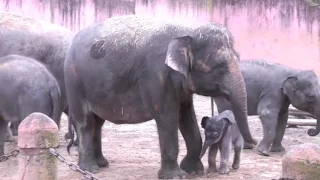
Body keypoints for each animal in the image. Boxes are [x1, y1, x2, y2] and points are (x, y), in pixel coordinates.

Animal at [64, 15, 258, 179]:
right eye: (219, 66)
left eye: (238, 57)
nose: (254, 143)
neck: (187, 30)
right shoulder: (156, 76)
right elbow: (167, 117)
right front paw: (175, 176)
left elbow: (186, 116)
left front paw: (194, 171)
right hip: (75, 83)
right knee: (85, 122)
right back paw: (89, 169)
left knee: (98, 122)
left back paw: (102, 164)